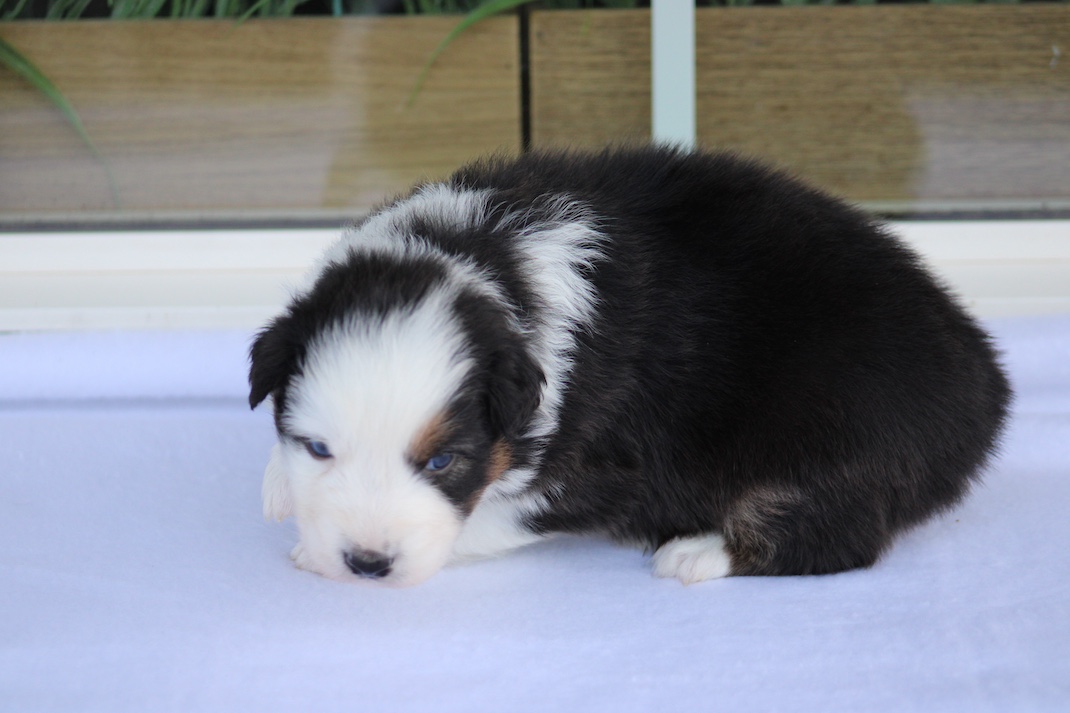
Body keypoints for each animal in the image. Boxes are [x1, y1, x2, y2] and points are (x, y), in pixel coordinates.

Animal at [249, 145, 1011, 587]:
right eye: (319, 449)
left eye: (443, 462)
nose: (367, 564)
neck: (486, 254)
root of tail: (986, 388)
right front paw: (282, 488)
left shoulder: (603, 469)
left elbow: (495, 517)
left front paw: (308, 547)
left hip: (837, 448)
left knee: (834, 537)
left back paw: (697, 553)